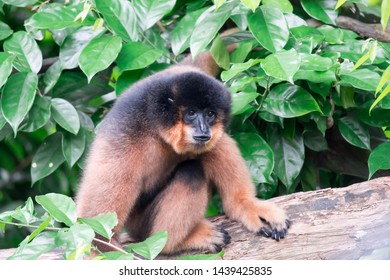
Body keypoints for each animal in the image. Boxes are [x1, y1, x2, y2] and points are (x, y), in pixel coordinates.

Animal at [76, 48, 290, 256]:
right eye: (191, 113)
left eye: (210, 114)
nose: (204, 128)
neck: (156, 129)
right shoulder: (124, 138)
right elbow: (97, 236)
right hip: (140, 225)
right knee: (192, 171)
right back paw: (175, 244)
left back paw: (242, 204)